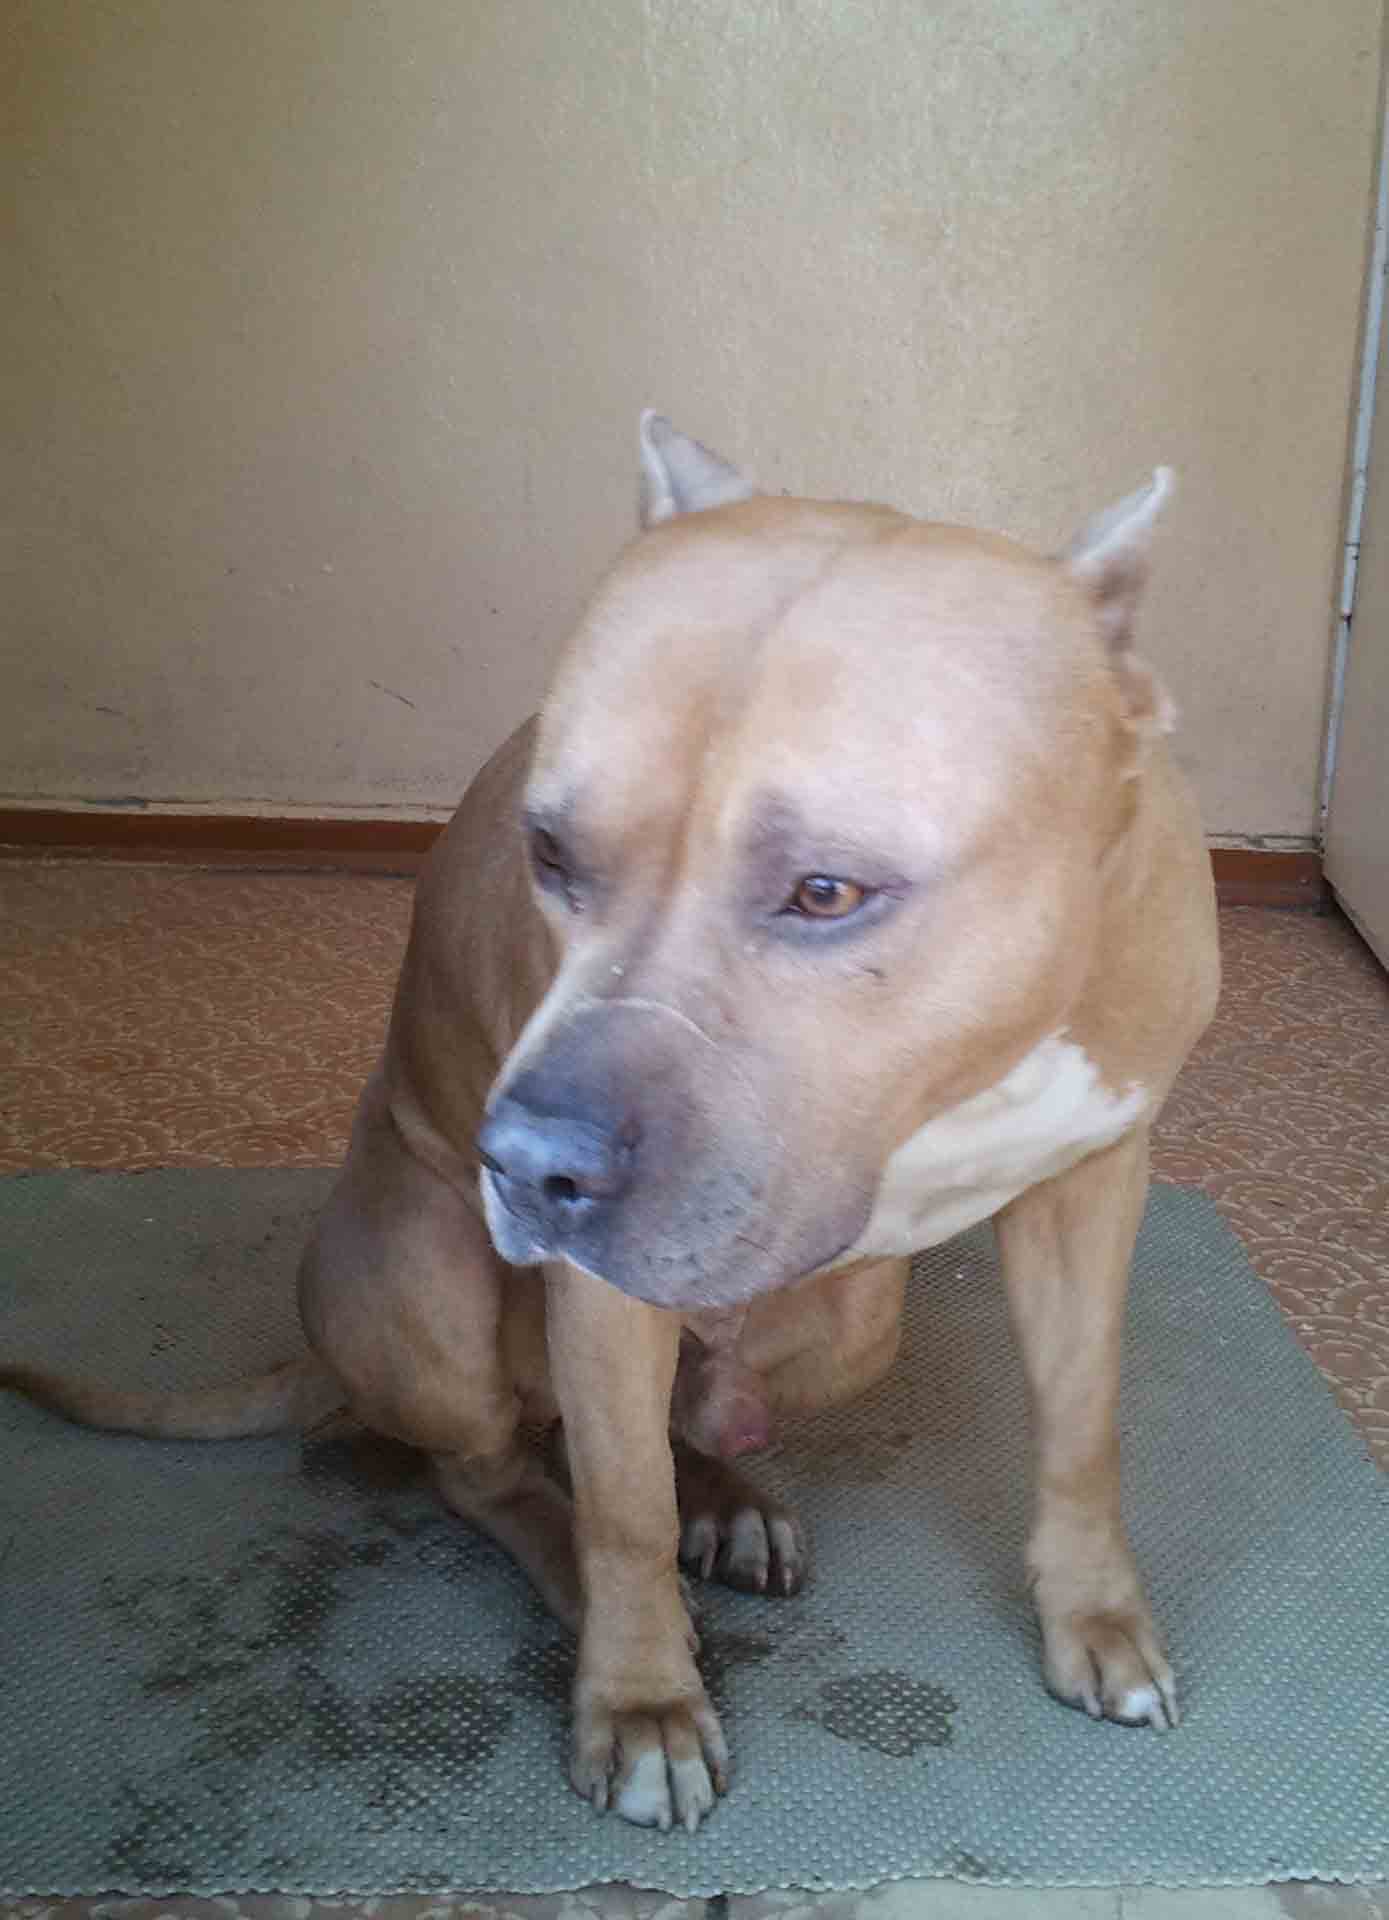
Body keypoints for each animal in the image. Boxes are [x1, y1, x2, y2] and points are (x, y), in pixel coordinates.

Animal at [4, 413, 1220, 1834]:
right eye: (549, 853)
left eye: (827, 891)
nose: (524, 1166)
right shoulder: (593, 1293)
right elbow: (622, 1508)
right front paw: (639, 1702)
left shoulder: (1095, 1178)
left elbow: (1082, 1428)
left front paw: (1096, 1619)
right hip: (424, 1294)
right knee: (498, 1468)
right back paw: (578, 1570)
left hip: (845, 1319)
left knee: (698, 1405)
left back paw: (732, 1498)